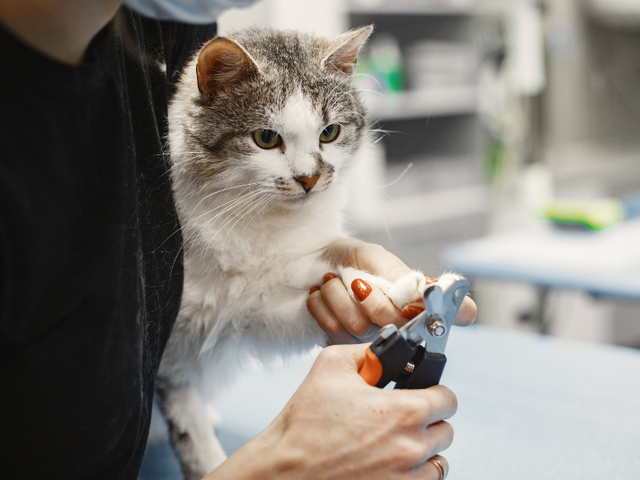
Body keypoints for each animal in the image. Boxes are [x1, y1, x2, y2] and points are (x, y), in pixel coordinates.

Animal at [156, 27, 436, 480]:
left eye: (330, 132)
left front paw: (398, 293)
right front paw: (209, 459)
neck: (259, 224)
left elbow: (332, 284)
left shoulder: (258, 310)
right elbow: (191, 428)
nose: (309, 178)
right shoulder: (173, 356)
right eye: (266, 138)